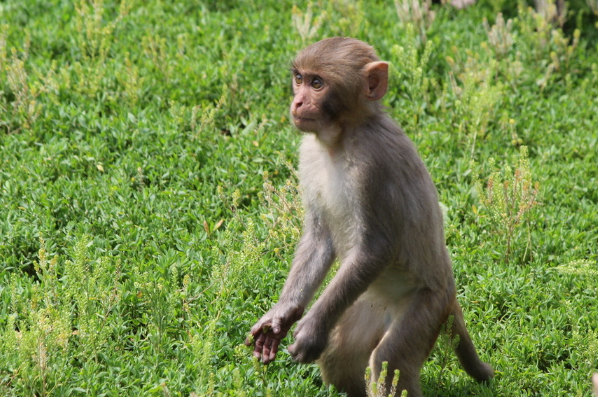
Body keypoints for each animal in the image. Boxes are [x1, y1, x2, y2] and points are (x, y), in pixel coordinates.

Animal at [246, 38, 494, 396]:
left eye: (317, 84)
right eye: (299, 79)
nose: (298, 101)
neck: (340, 140)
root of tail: (449, 291)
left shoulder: (371, 169)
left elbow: (376, 249)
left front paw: (310, 331)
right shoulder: (308, 154)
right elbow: (319, 238)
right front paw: (282, 315)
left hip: (427, 307)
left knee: (390, 359)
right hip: (366, 303)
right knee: (340, 353)